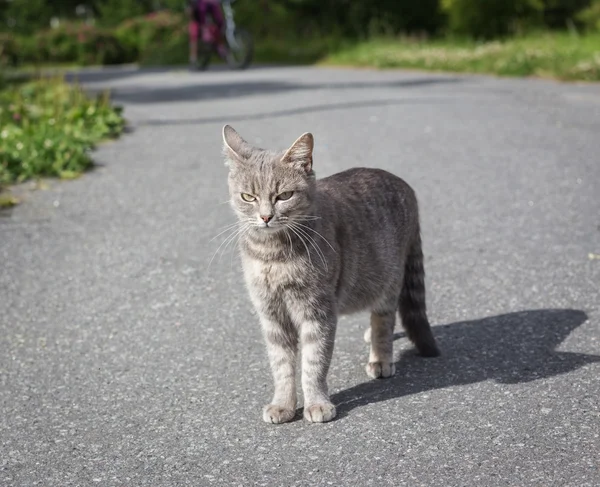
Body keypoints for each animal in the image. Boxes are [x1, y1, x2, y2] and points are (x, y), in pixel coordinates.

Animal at [223, 126, 438, 424]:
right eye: (248, 197)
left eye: (284, 196)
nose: (265, 217)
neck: (272, 255)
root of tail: (404, 184)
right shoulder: (271, 314)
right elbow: (281, 365)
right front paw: (282, 405)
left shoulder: (318, 311)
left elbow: (314, 362)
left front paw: (317, 404)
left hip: (388, 280)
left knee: (384, 319)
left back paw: (380, 359)